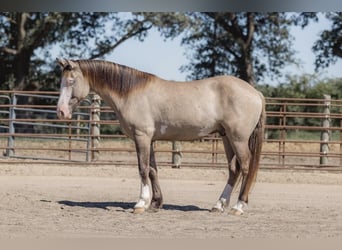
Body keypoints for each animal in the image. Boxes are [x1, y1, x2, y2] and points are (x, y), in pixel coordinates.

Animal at [55, 58, 264, 215]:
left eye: (71, 81)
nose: (61, 112)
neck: (131, 92)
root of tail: (255, 93)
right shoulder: (150, 139)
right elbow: (153, 171)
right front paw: (155, 203)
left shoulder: (142, 137)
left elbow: (142, 169)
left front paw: (141, 204)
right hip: (226, 138)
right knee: (234, 169)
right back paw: (218, 205)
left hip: (238, 139)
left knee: (246, 167)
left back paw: (238, 206)